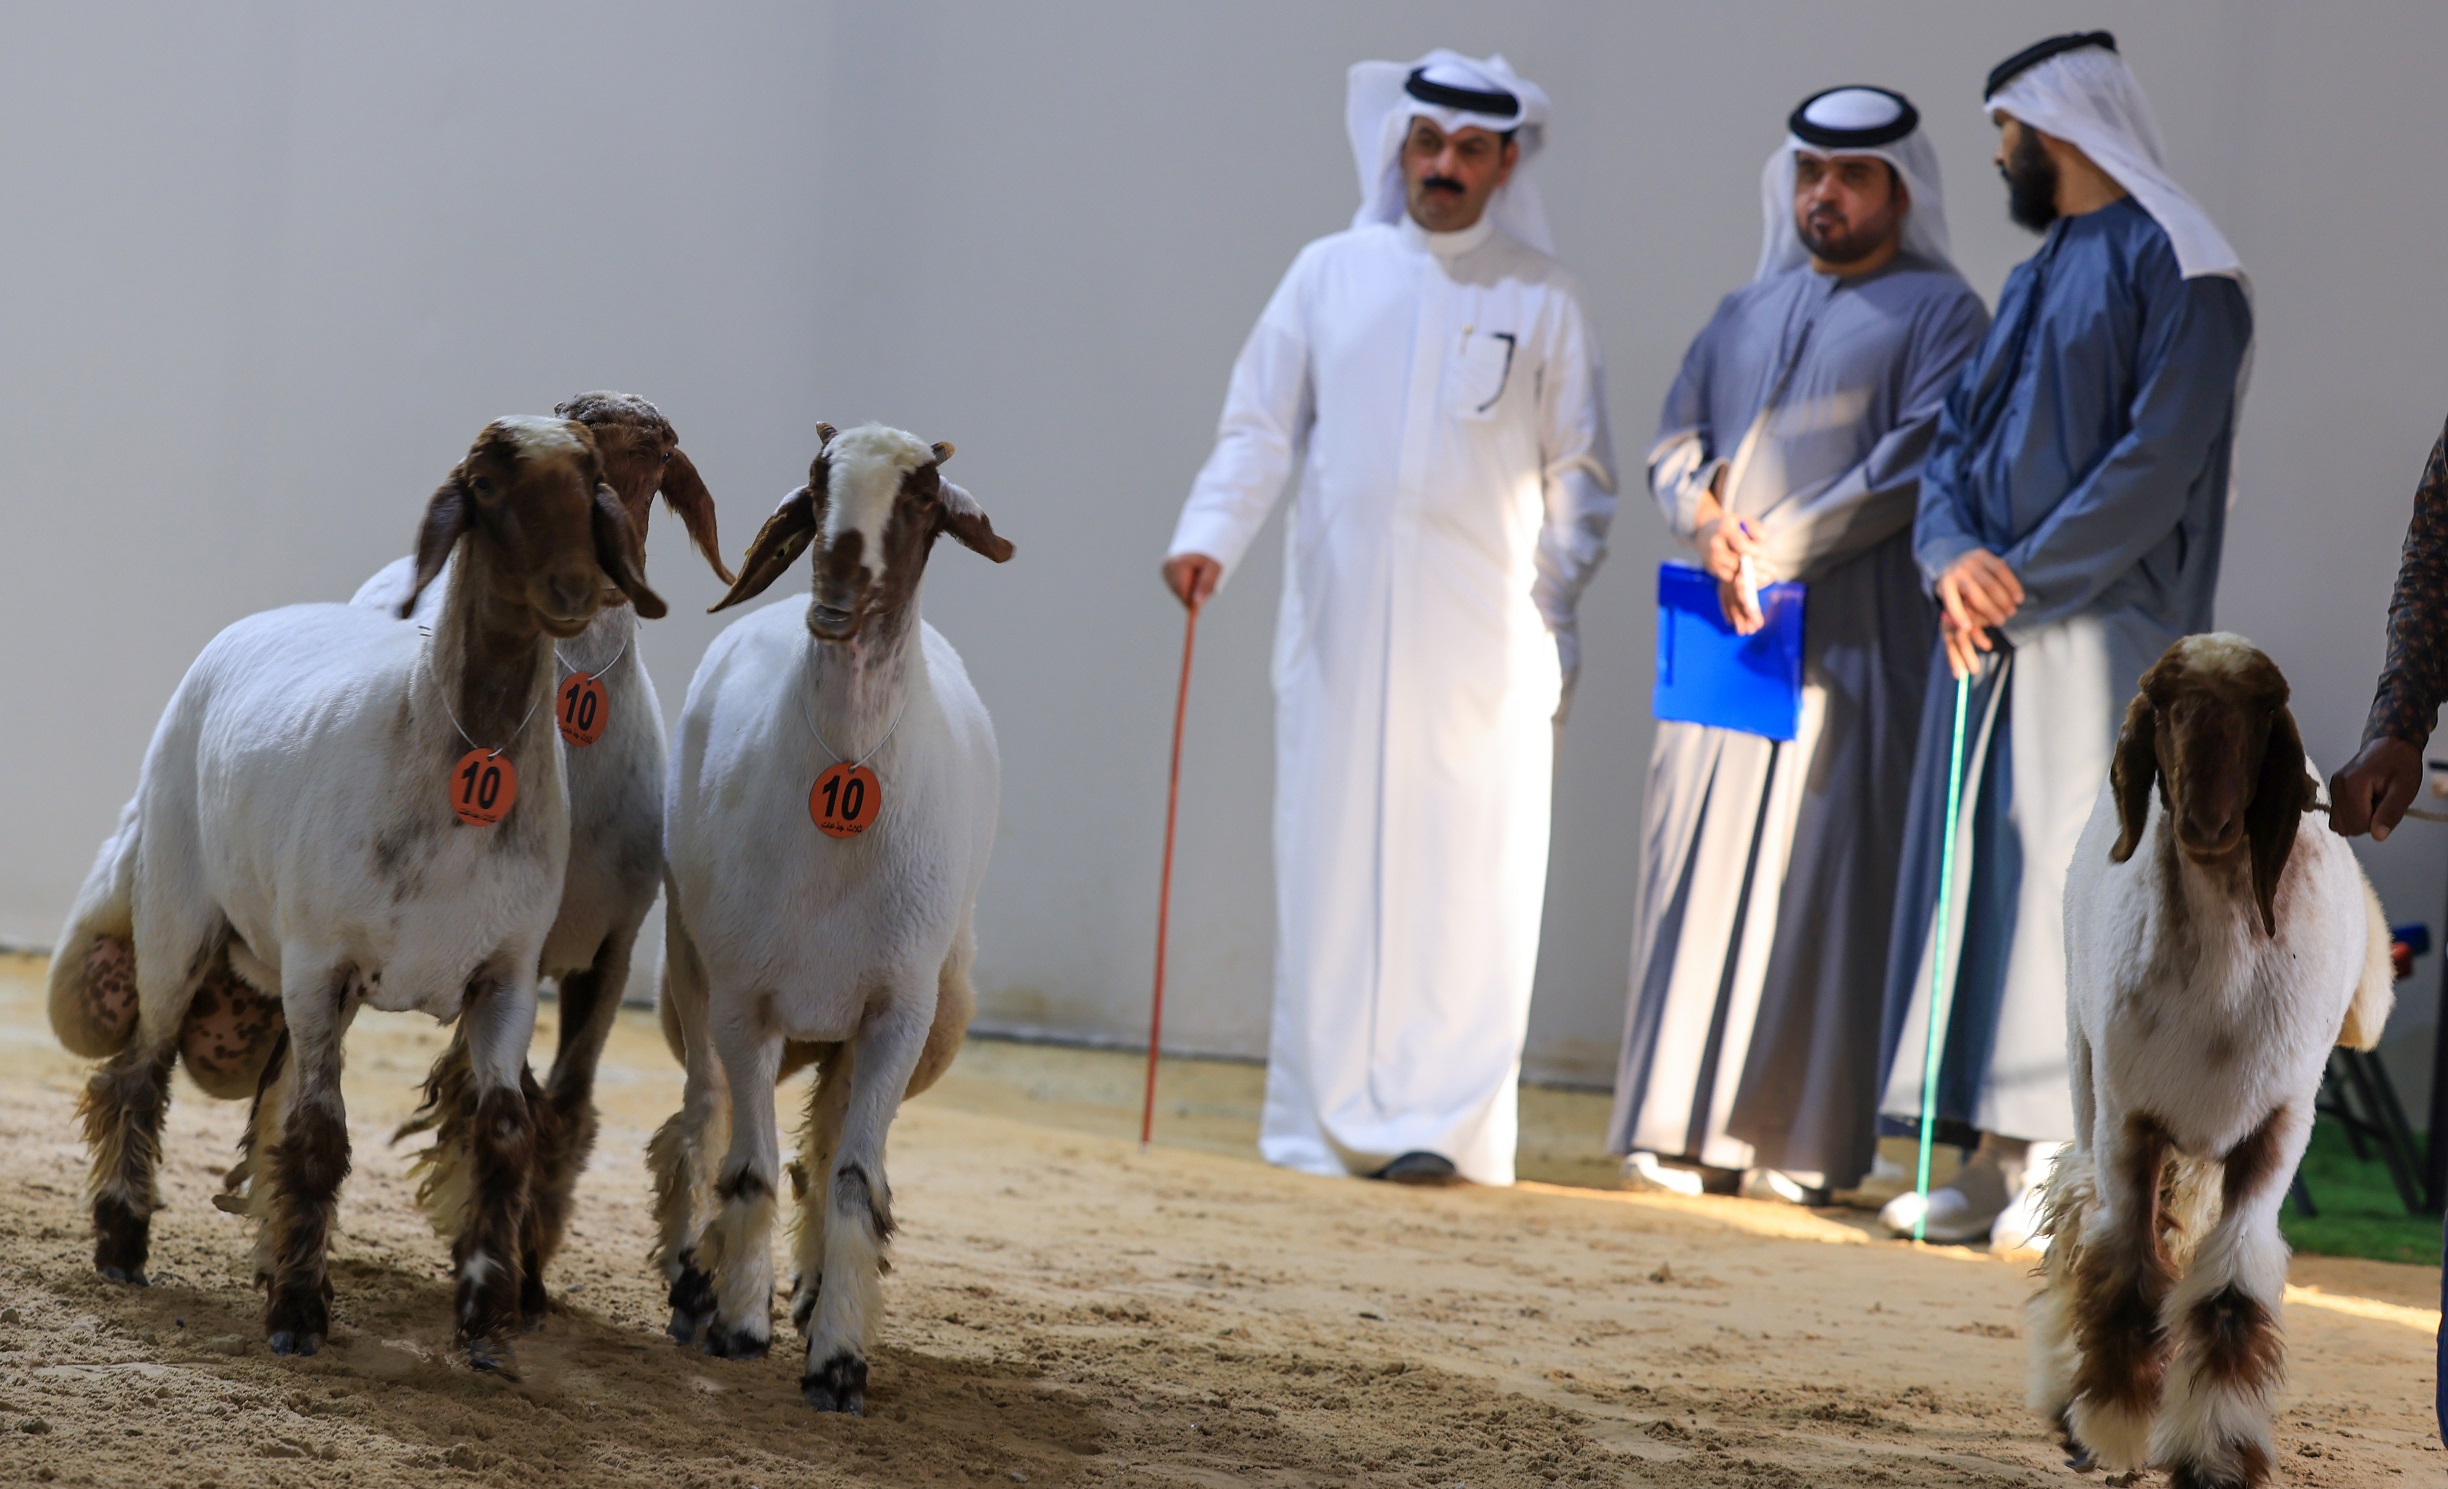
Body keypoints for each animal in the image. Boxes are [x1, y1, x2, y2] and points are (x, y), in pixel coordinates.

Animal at [67, 418, 660, 1371]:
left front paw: (488, 1322)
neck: (440, 733)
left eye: (591, 478)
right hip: (178, 915)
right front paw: (299, 1314)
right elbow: (319, 1137)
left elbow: (502, 1135)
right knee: (138, 1073)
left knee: (259, 1099)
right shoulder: (320, 961)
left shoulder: (505, 975)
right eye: (485, 485)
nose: (574, 588)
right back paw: (122, 1241)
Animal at [354, 389, 729, 1312]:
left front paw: (530, 1274)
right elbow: (506, 1100)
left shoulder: (609, 949)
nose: (580, 584)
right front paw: (502, 1258)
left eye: (659, 453)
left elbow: (565, 1106)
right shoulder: (506, 956)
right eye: (572, 422)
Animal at [651, 421, 1013, 1420]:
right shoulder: (746, 1001)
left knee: (824, 1146)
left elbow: (852, 1176)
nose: (836, 602)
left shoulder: (896, 1012)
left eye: (923, 499)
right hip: (689, 967)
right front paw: (739, 1323)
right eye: (817, 483)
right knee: (705, 1115)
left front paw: (839, 1359)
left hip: (920, 1013)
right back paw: (697, 1284)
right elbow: (747, 1163)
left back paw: (815, 1291)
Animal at [2026, 631, 2389, 1489]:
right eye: (2164, 710)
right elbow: (2127, 1271)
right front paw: (2113, 1424)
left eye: (2260, 715)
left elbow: (2228, 1292)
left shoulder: (2274, 1132)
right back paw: (2064, 1396)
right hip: (2088, 1069)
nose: (2206, 822)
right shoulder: (2131, 1121)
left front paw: (2216, 1454)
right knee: (2079, 1211)